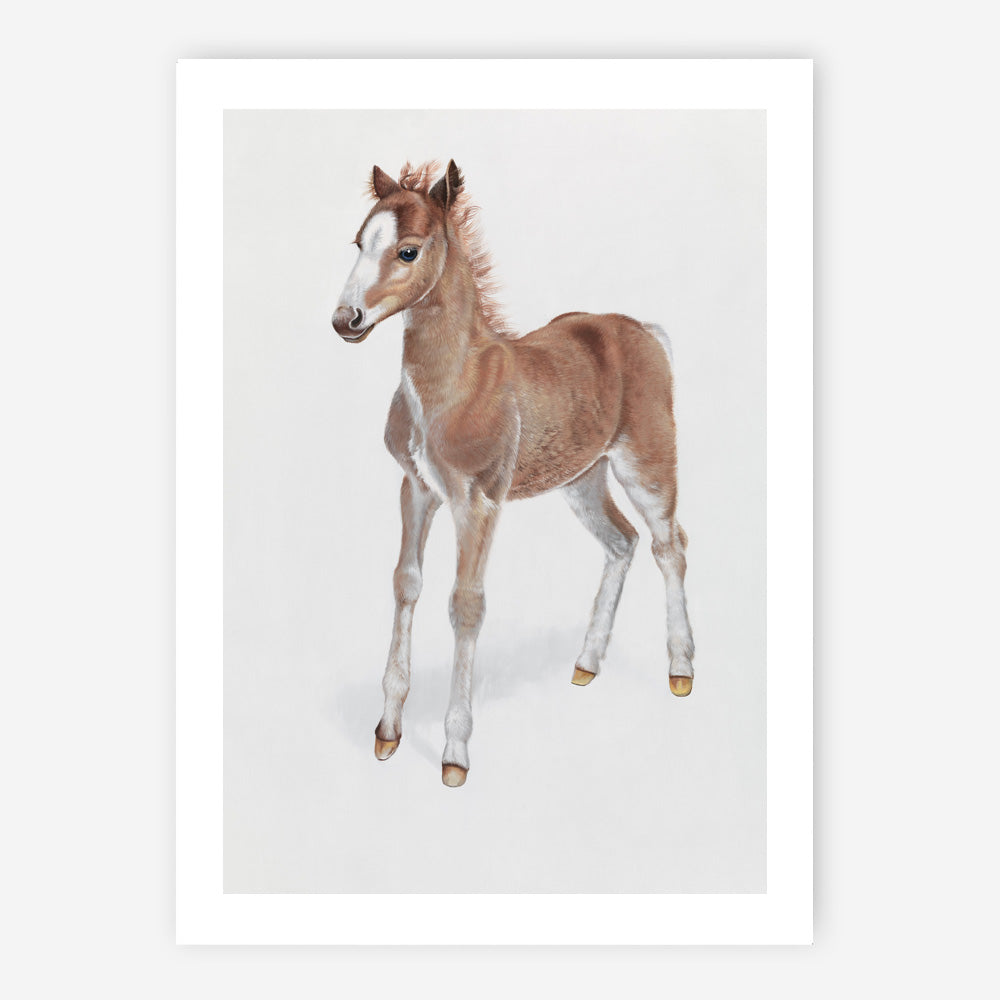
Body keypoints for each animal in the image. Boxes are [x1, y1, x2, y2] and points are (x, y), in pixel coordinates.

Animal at [332, 160, 695, 787]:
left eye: (408, 250)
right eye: (359, 242)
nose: (344, 319)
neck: (453, 384)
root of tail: (646, 330)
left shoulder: (477, 502)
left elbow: (466, 605)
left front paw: (454, 753)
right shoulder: (417, 490)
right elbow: (406, 584)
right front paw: (387, 732)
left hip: (647, 466)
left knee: (668, 545)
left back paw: (680, 670)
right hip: (582, 479)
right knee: (621, 542)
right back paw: (586, 664)